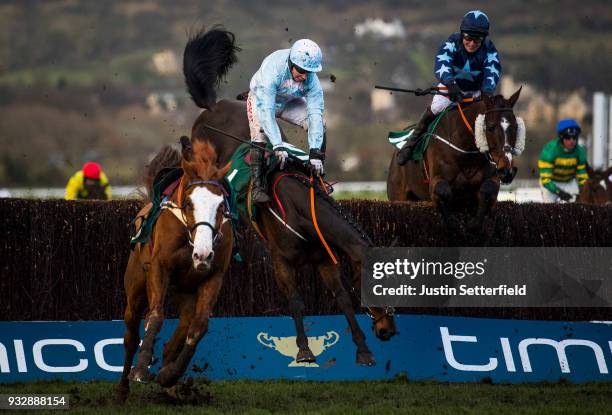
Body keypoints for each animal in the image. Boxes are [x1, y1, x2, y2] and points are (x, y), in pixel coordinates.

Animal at [115, 139, 232, 404]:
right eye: (189, 203)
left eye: (221, 205)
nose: (202, 254)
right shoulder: (160, 268)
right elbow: (156, 317)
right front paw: (141, 368)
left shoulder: (214, 275)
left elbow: (199, 327)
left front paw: (170, 375)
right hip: (136, 288)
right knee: (130, 335)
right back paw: (123, 387)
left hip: (186, 292)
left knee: (179, 332)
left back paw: (169, 380)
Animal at [182, 26, 394, 366]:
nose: (389, 330)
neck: (303, 213)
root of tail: (213, 106)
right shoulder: (281, 262)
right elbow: (295, 301)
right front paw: (304, 350)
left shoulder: (324, 259)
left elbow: (343, 300)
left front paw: (363, 350)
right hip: (246, 120)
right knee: (246, 138)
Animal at [388, 89, 524, 229]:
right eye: (491, 127)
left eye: (515, 127)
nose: (507, 171)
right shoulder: (436, 179)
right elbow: (443, 192)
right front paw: (454, 224)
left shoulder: (493, 177)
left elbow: (487, 191)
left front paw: (473, 223)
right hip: (398, 194)